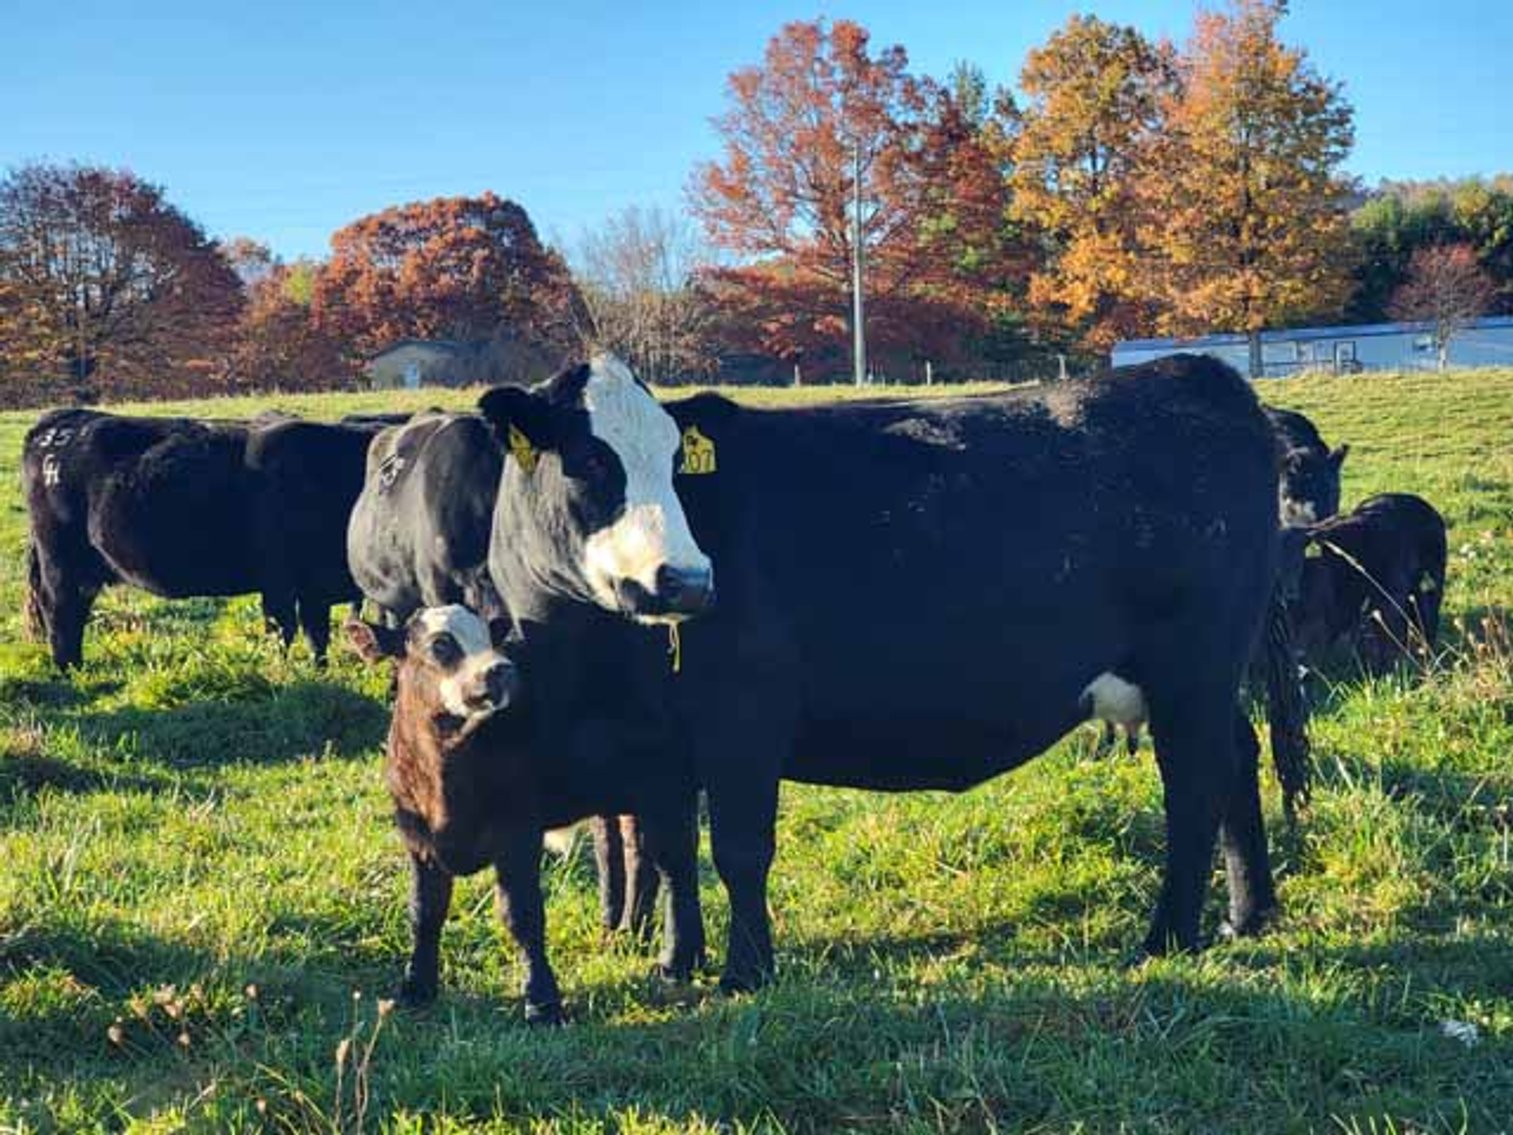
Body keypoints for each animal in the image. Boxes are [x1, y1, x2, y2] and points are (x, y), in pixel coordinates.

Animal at [23, 408, 386, 668]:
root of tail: (59, 423)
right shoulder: (278, 580)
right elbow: (282, 629)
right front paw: (284, 672)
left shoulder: (313, 585)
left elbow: (316, 634)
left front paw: (319, 671)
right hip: (61, 560)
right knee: (59, 609)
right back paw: (69, 668)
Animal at [346, 604, 706, 1022]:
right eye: (440, 645)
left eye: (491, 638)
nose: (500, 669)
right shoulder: (418, 840)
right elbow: (424, 913)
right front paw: (415, 988)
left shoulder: (517, 834)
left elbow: (522, 916)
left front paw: (542, 1002)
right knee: (639, 855)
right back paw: (628, 934)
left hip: (668, 785)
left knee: (677, 867)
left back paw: (678, 961)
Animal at [468, 353, 1307, 1008]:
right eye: (589, 459)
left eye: (677, 464)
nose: (685, 578)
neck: (599, 658)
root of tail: (1198, 375)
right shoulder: (660, 745)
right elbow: (674, 851)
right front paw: (678, 962)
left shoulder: (744, 716)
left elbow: (739, 848)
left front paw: (745, 971)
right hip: (1206, 679)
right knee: (1237, 757)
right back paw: (1246, 911)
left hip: (1192, 667)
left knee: (1193, 783)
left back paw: (1167, 934)